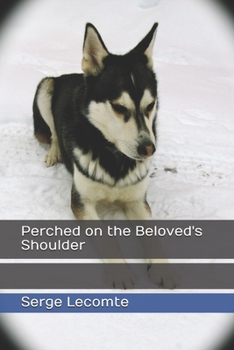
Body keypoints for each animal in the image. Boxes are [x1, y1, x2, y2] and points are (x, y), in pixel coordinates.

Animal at [32, 23, 176, 288]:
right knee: (54, 133)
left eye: (151, 106)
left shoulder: (137, 200)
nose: (148, 149)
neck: (114, 157)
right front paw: (120, 272)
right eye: (119, 108)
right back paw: (54, 153)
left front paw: (163, 268)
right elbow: (107, 238)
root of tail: (72, 75)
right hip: (45, 89)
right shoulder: (81, 201)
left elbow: (152, 235)